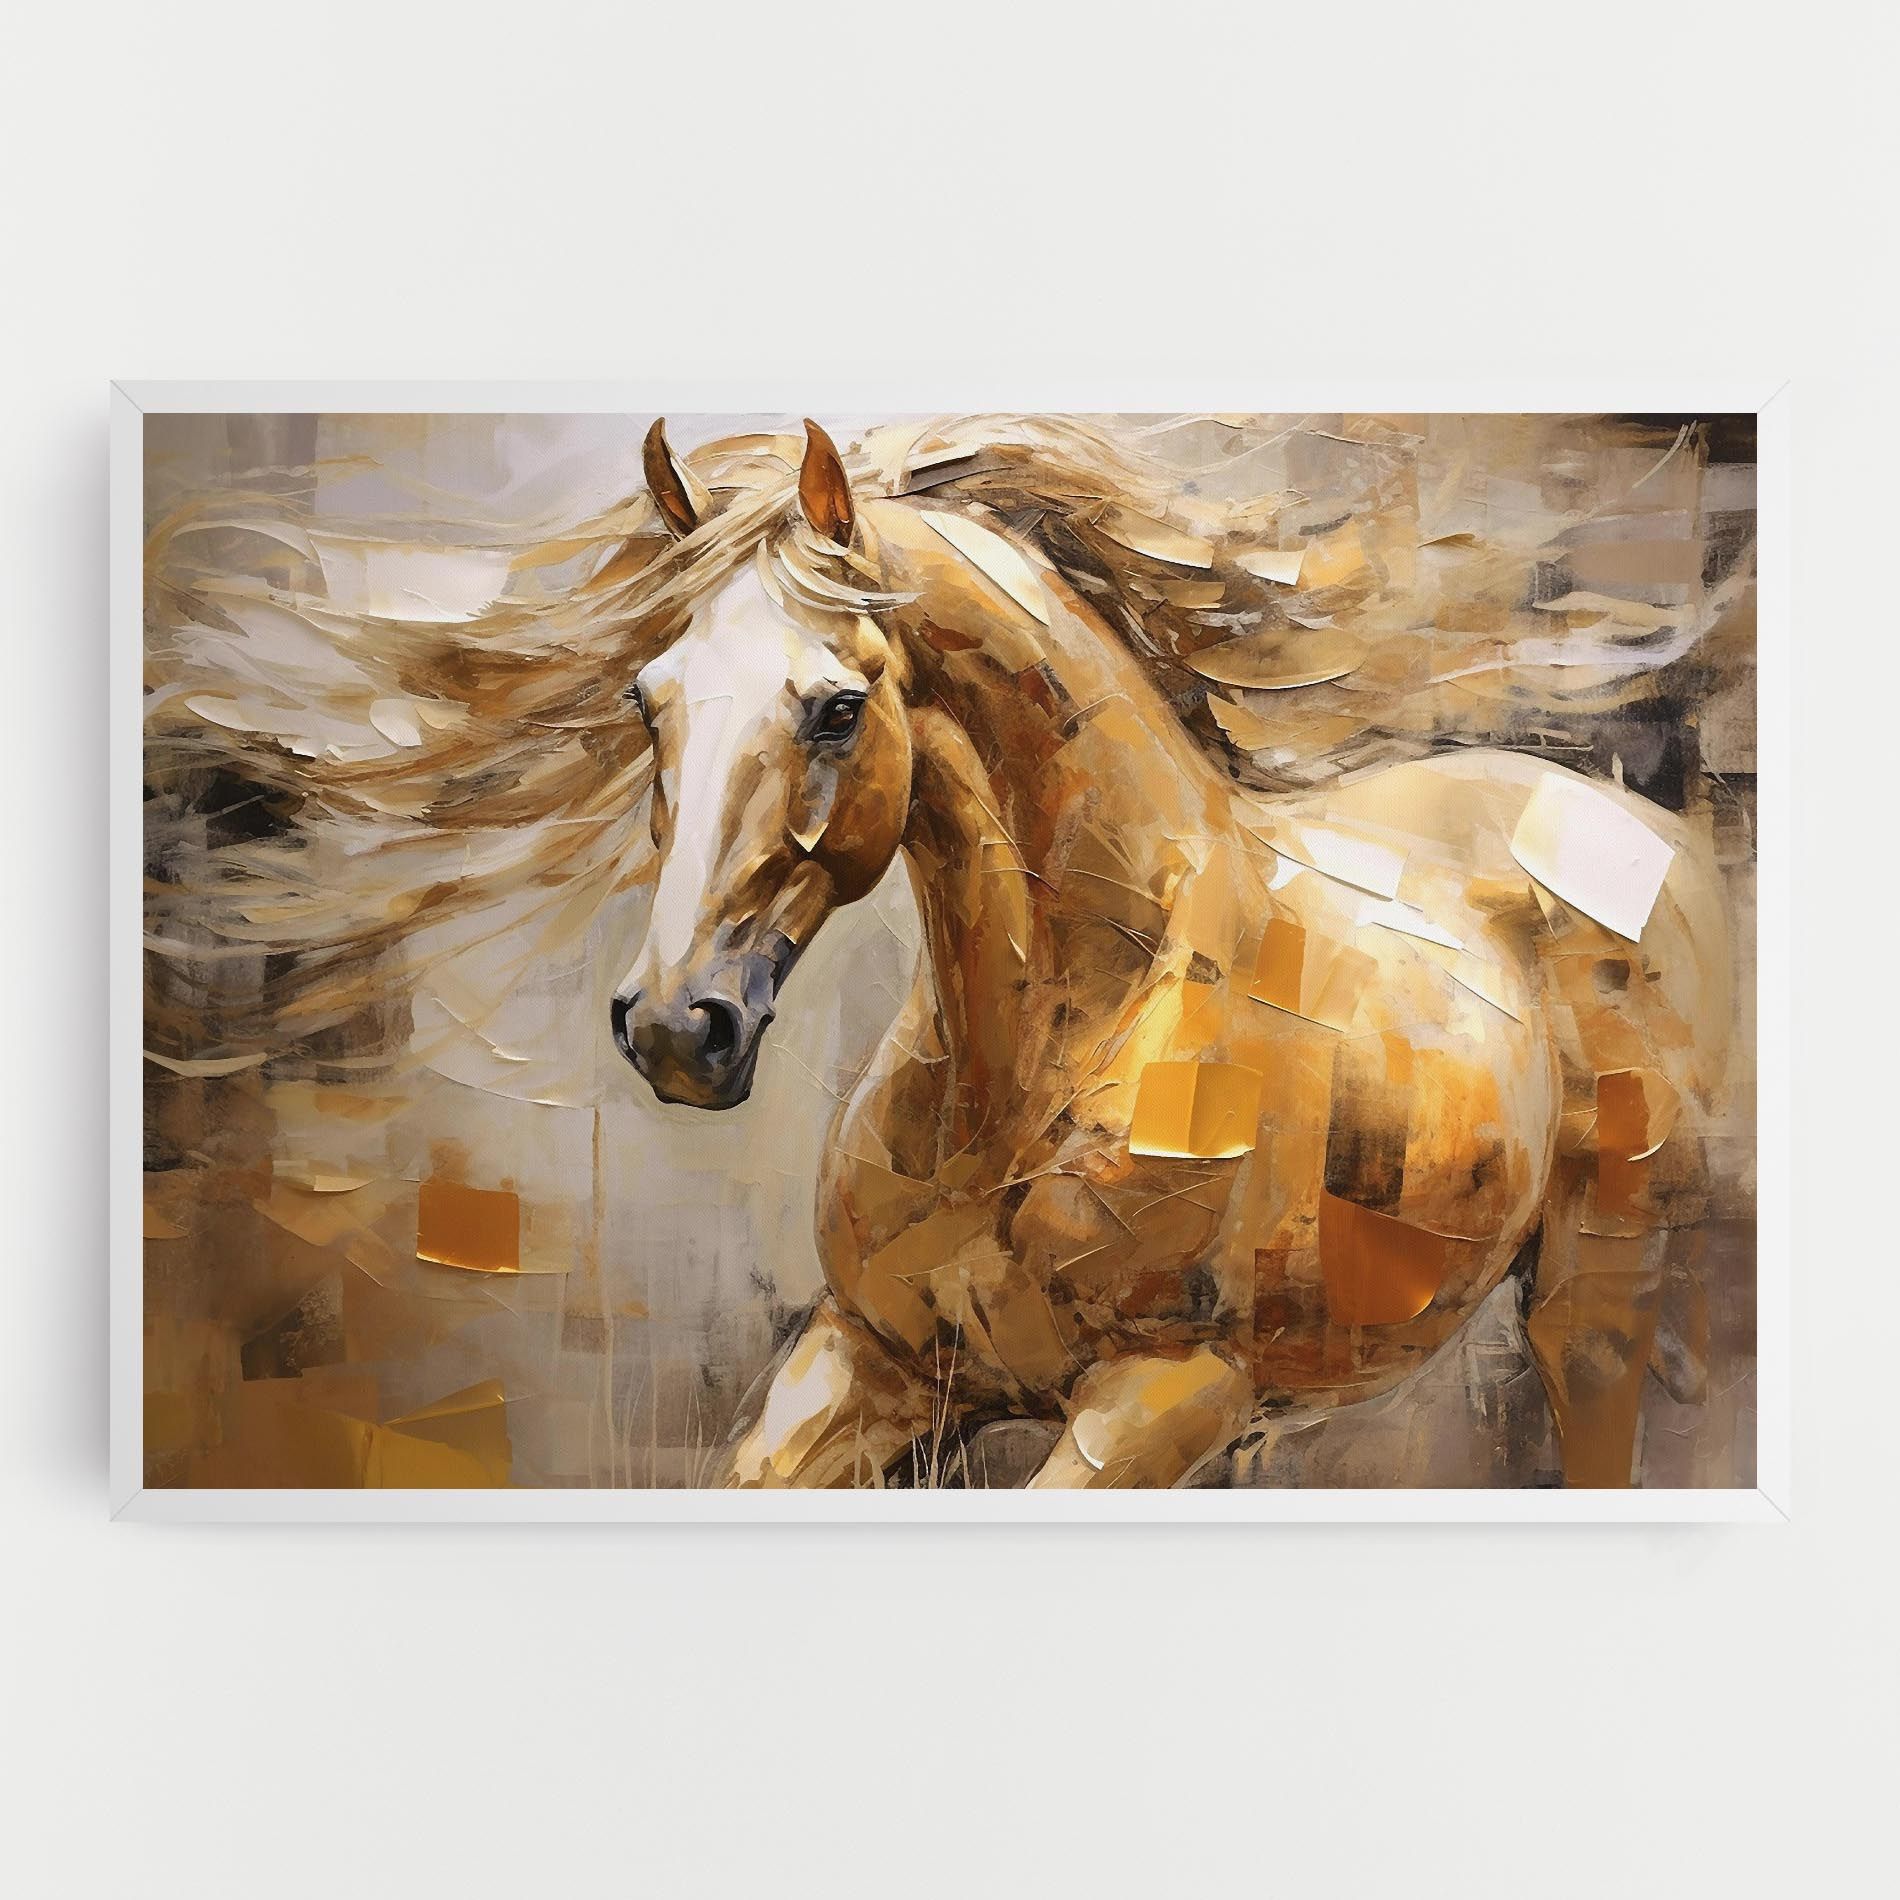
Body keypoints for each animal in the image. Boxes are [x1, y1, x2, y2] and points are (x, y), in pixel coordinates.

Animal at [606, 418, 1734, 1489]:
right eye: (644, 701)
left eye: (838, 708)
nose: (674, 1026)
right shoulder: (868, 1357)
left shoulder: (1168, 1393)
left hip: (1593, 1299)